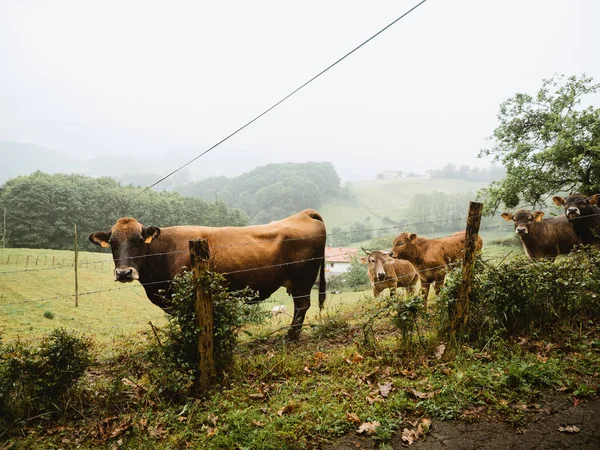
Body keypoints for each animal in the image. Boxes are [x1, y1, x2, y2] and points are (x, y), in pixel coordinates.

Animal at [88, 209, 328, 340]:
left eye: (139, 240)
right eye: (112, 243)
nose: (124, 272)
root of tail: (303, 214)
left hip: (303, 279)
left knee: (302, 306)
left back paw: (291, 336)